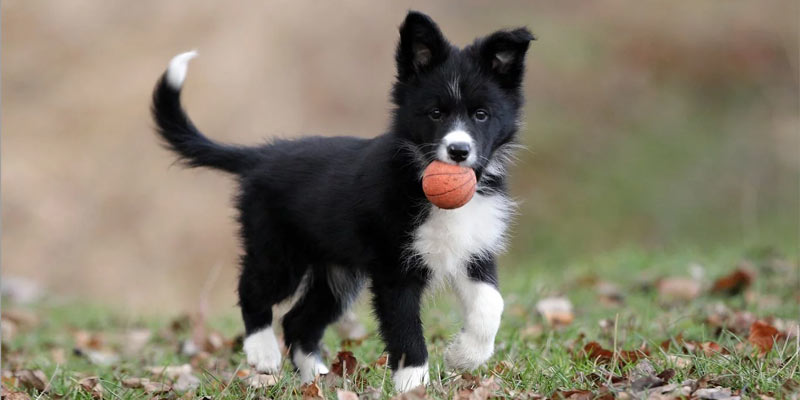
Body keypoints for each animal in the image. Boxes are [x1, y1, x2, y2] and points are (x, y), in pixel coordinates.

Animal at [153, 10, 536, 392]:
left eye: (481, 114)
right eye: (436, 113)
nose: (459, 151)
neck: (418, 176)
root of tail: (262, 156)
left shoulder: (474, 250)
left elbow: (492, 303)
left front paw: (464, 356)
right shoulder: (394, 270)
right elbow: (405, 329)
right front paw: (414, 385)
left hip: (337, 272)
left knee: (298, 320)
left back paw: (318, 379)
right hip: (279, 251)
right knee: (254, 290)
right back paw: (263, 353)